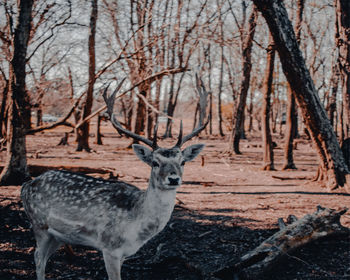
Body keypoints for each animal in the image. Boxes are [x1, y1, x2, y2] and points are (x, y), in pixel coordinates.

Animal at [21, 84, 208, 280]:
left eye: (183, 162)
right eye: (155, 163)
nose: (173, 179)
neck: (137, 228)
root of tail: (25, 186)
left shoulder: (125, 254)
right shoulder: (109, 246)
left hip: (57, 236)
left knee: (43, 257)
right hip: (39, 223)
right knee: (38, 256)